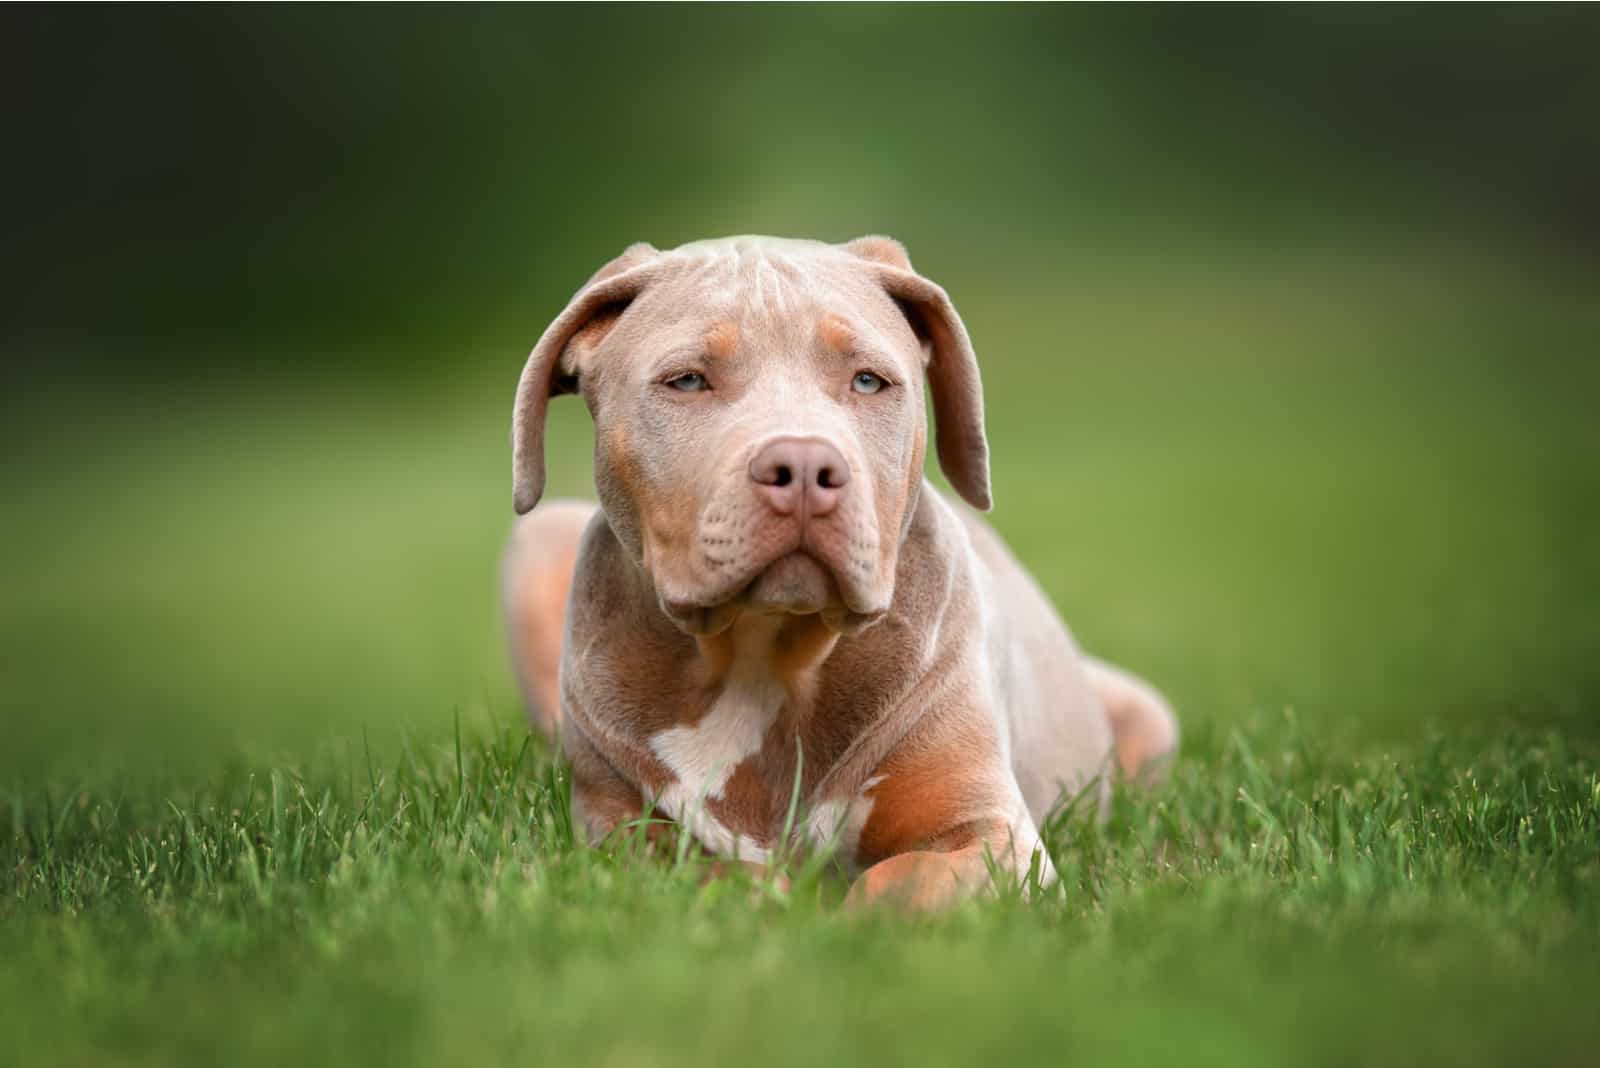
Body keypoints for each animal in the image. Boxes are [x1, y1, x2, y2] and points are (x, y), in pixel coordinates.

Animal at [499, 235, 1177, 908]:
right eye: (687, 380)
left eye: (868, 381)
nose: (803, 467)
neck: (762, 656)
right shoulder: (619, 840)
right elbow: (712, 874)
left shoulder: (994, 838)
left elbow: (894, 884)